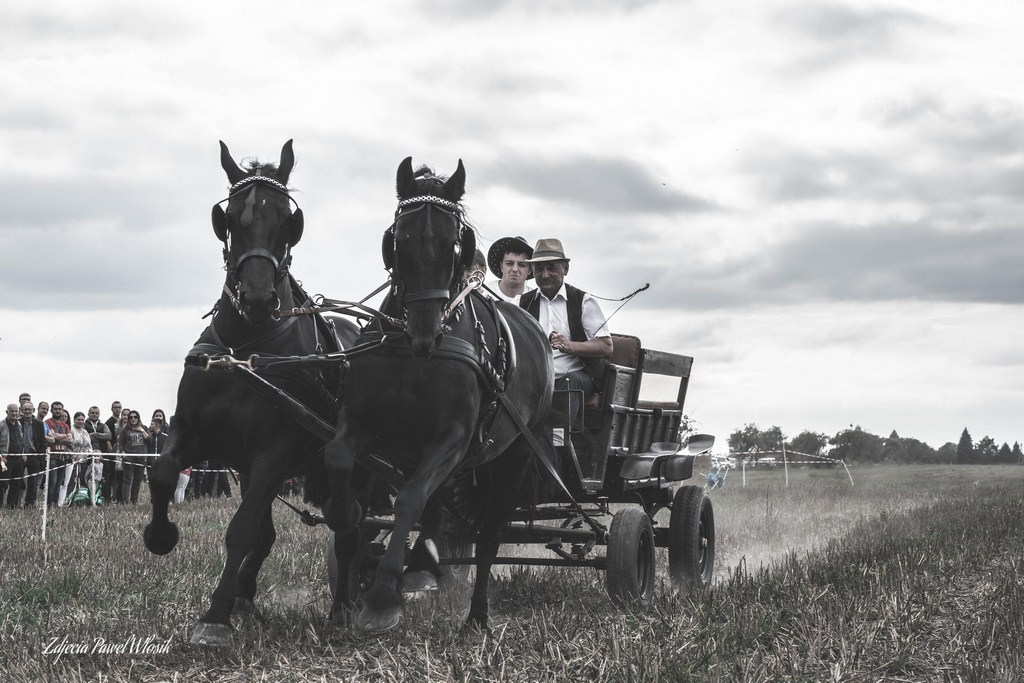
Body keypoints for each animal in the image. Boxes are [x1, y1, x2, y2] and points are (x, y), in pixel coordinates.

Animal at [142, 140, 354, 647]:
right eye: (231, 217)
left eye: (287, 220)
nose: (257, 297)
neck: (247, 351)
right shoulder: (196, 433)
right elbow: (163, 474)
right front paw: (161, 536)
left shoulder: (275, 451)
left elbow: (240, 530)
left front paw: (215, 616)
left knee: (350, 525)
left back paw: (345, 606)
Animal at [325, 157, 552, 634]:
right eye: (400, 238)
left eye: (454, 243)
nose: (425, 334)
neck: (411, 353)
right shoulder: (361, 423)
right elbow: (339, 462)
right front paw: (347, 521)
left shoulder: (454, 436)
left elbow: (411, 499)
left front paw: (382, 598)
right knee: (437, 507)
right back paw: (421, 562)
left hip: (513, 456)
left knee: (488, 536)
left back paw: (475, 614)